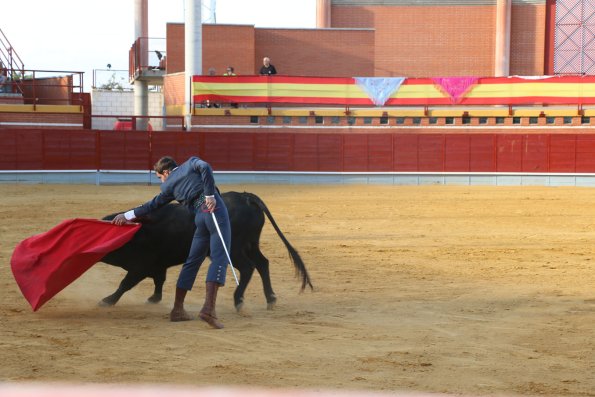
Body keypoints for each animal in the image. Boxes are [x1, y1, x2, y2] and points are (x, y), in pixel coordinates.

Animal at [100, 189, 314, 310]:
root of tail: (246, 197)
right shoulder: (158, 265)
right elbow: (159, 281)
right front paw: (154, 298)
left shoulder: (141, 266)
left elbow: (125, 284)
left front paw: (107, 301)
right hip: (251, 244)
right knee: (263, 264)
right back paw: (270, 299)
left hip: (233, 248)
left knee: (248, 268)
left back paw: (238, 300)